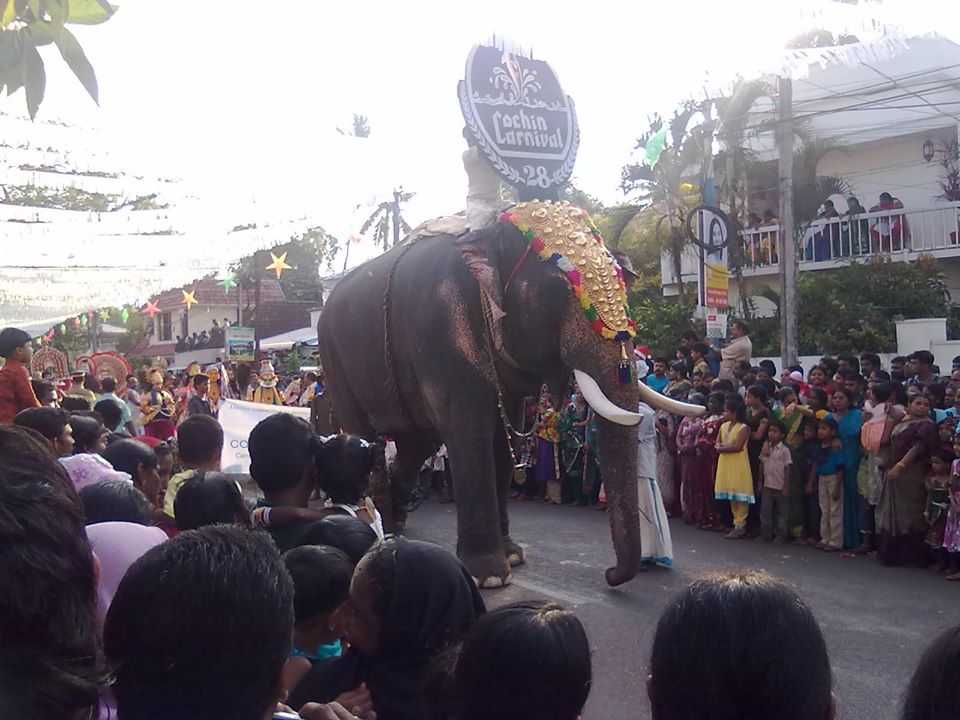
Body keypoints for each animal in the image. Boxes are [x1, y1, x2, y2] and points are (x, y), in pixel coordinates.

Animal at [318, 200, 700, 588]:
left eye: (627, 285)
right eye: (556, 293)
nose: (610, 575)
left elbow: (504, 439)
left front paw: (513, 556)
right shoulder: (440, 330)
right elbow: (469, 433)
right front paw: (488, 577)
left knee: (416, 443)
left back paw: (394, 521)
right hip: (334, 359)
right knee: (367, 435)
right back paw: (374, 526)